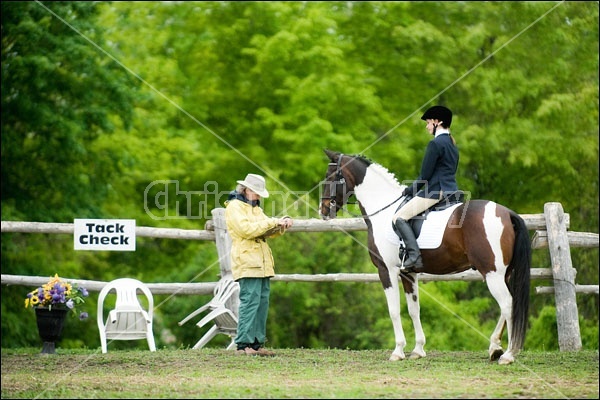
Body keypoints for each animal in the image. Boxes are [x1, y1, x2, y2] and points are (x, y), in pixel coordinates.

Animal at [318, 148, 528, 364]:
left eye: (330, 177)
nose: (323, 210)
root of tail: (507, 213)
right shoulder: (408, 273)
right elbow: (414, 309)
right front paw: (418, 349)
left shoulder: (387, 270)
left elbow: (394, 310)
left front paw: (397, 351)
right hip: (503, 274)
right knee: (507, 307)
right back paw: (495, 348)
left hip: (492, 273)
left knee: (507, 304)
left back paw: (508, 355)